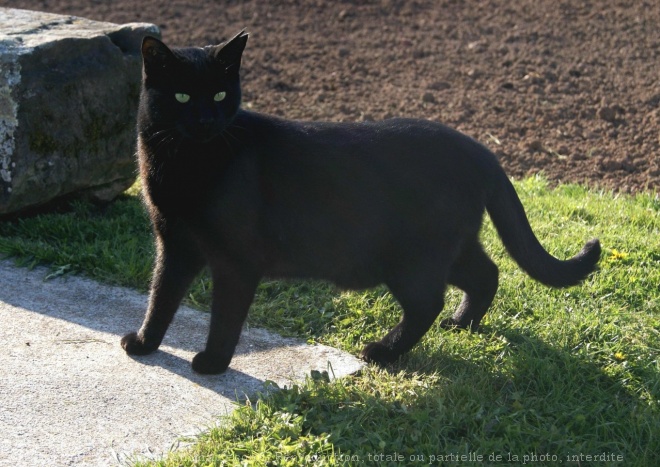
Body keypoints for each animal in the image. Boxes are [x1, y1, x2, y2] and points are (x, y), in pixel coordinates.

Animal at [121, 31, 600, 374]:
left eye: (220, 95)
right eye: (182, 96)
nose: (206, 120)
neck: (186, 161)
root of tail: (480, 150)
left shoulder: (236, 260)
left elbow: (224, 316)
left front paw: (213, 363)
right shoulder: (175, 244)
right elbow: (160, 296)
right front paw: (144, 343)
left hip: (413, 257)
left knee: (428, 303)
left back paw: (384, 352)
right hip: (450, 245)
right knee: (487, 273)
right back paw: (463, 324)